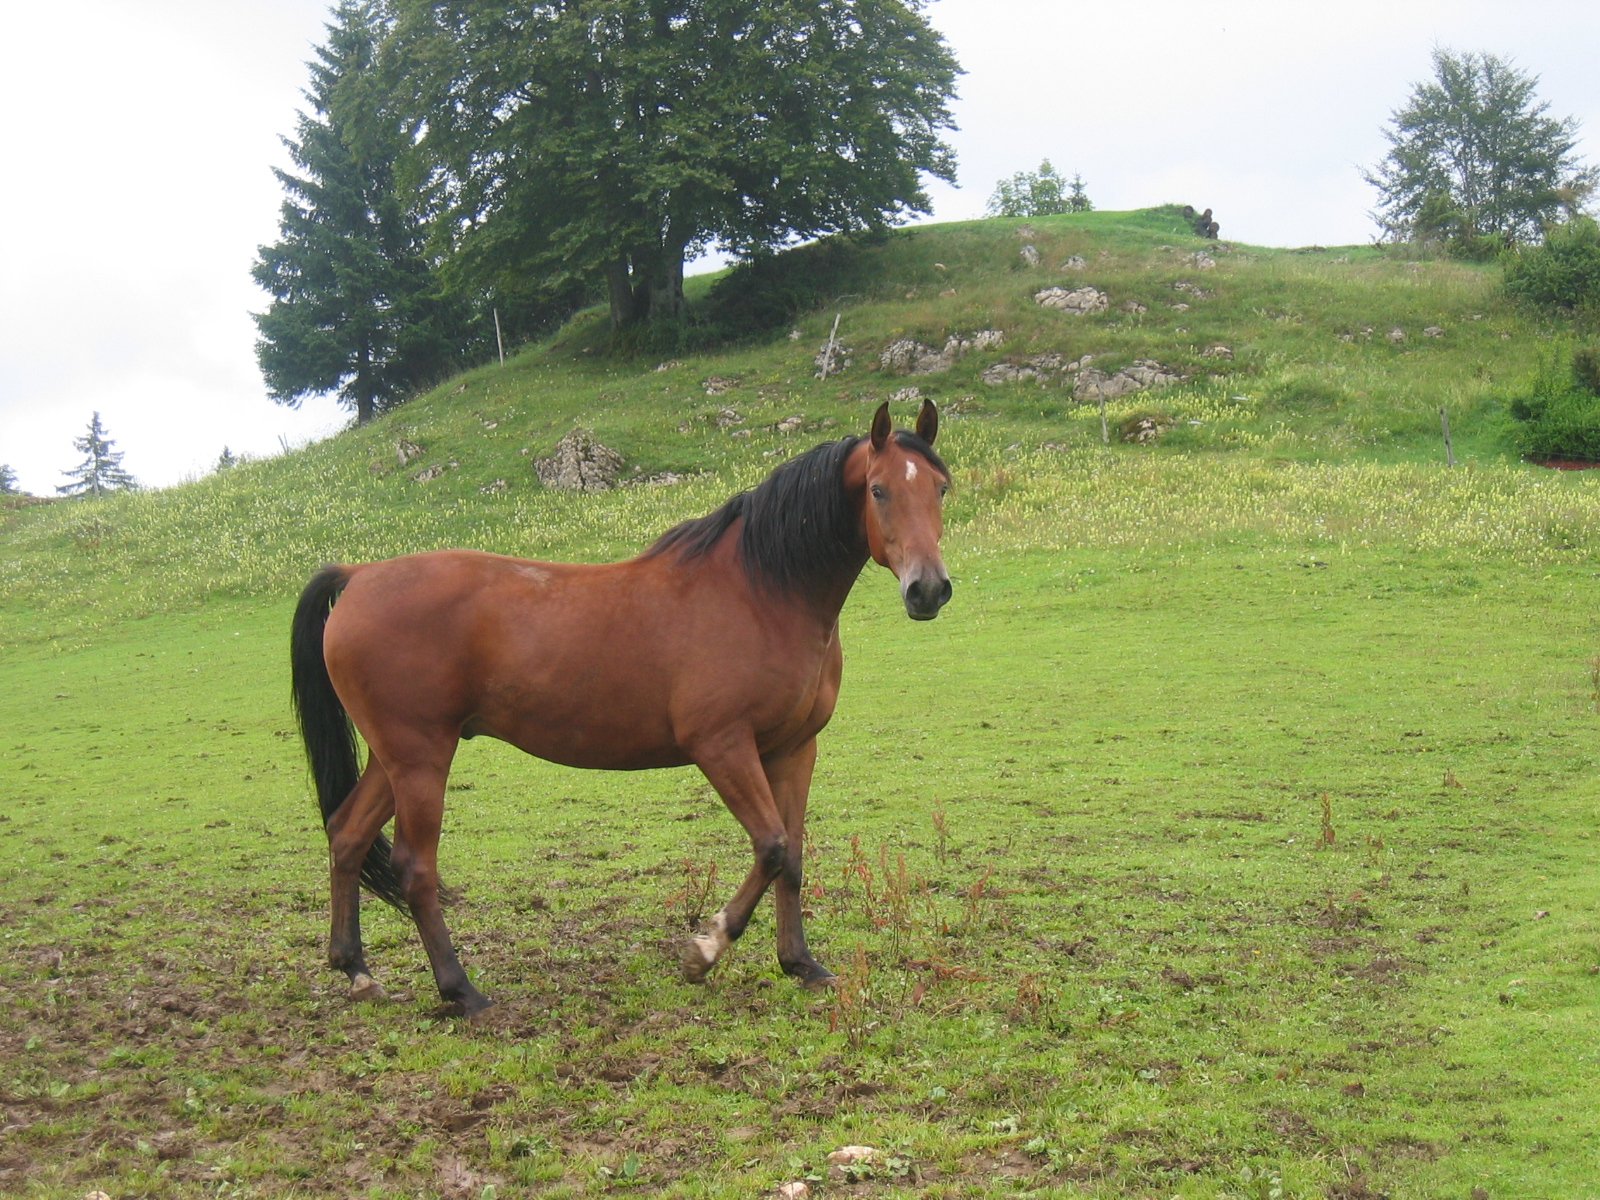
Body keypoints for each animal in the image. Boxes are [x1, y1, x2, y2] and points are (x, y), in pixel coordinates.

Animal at [291, 401, 947, 1017]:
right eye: (878, 489)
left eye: (941, 487)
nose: (929, 589)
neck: (760, 592)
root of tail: (359, 575)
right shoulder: (722, 746)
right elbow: (771, 846)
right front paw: (703, 950)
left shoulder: (792, 750)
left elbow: (795, 856)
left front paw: (801, 964)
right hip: (421, 758)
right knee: (414, 867)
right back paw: (461, 990)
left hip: (394, 758)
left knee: (347, 836)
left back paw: (357, 971)